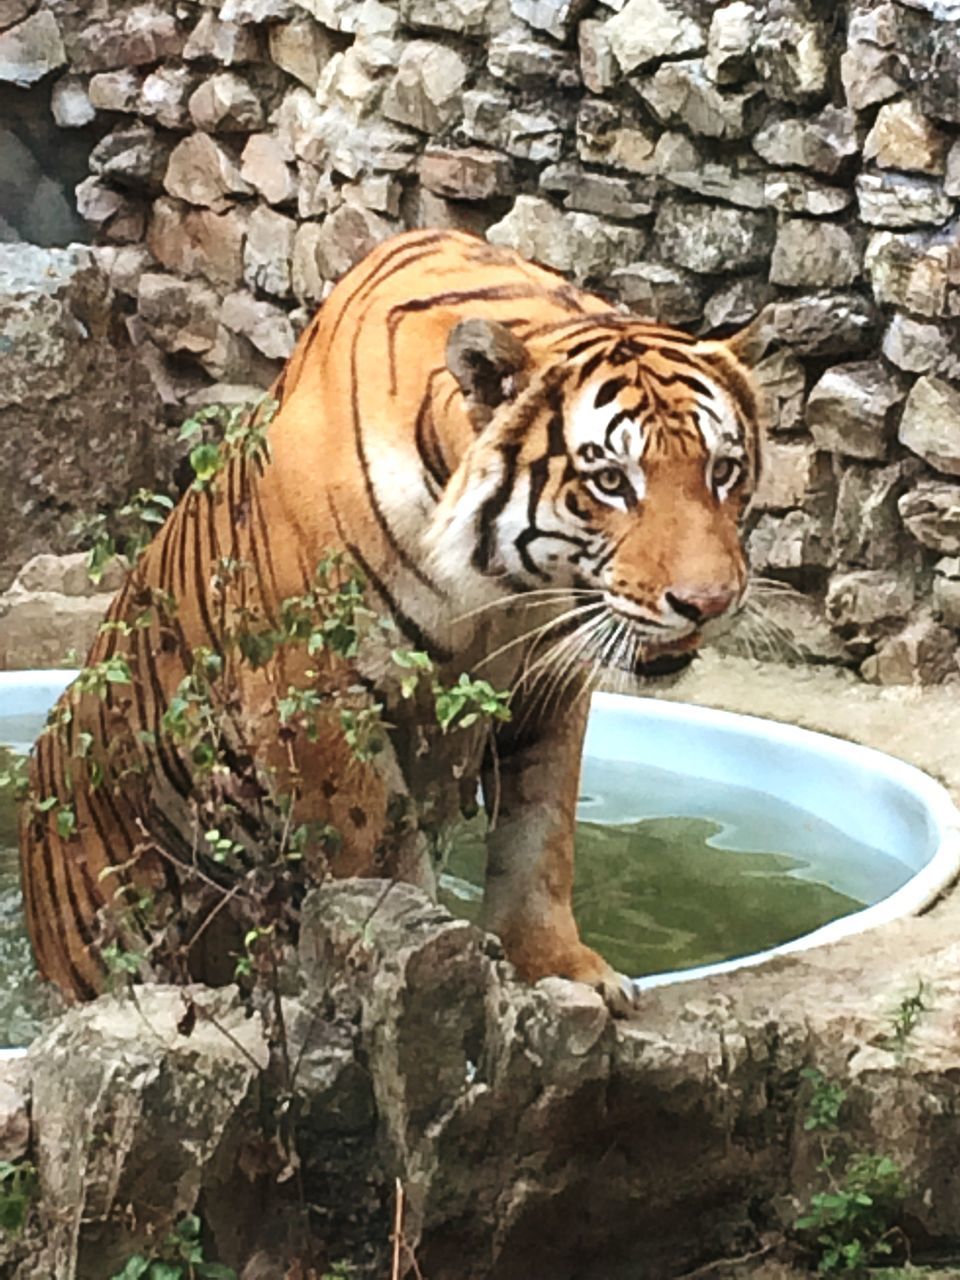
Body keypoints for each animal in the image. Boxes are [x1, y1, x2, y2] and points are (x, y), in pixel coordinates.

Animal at [18, 227, 762, 1008]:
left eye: (722, 471)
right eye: (612, 482)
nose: (709, 602)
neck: (502, 589)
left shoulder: (547, 685)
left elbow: (540, 835)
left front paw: (557, 966)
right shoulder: (312, 694)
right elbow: (375, 858)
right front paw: (410, 964)